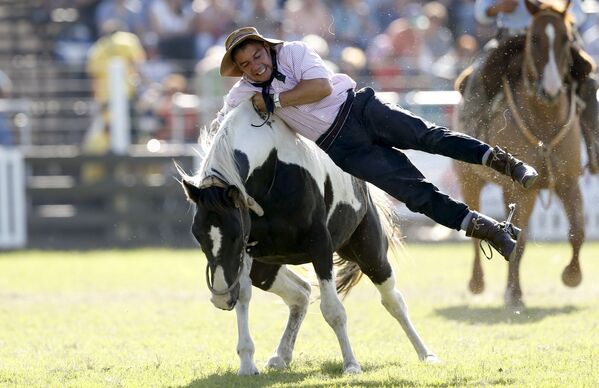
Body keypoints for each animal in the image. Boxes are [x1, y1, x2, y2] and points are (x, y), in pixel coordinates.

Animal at [180, 99, 438, 372]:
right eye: (198, 236)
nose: (220, 297)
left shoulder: (320, 245)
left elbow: (333, 310)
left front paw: (351, 364)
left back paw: (426, 354)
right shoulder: (246, 256)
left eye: (236, 236)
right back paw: (280, 356)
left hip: (370, 255)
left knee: (393, 301)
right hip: (265, 268)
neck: (273, 166)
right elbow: (243, 295)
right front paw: (247, 364)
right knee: (301, 294)